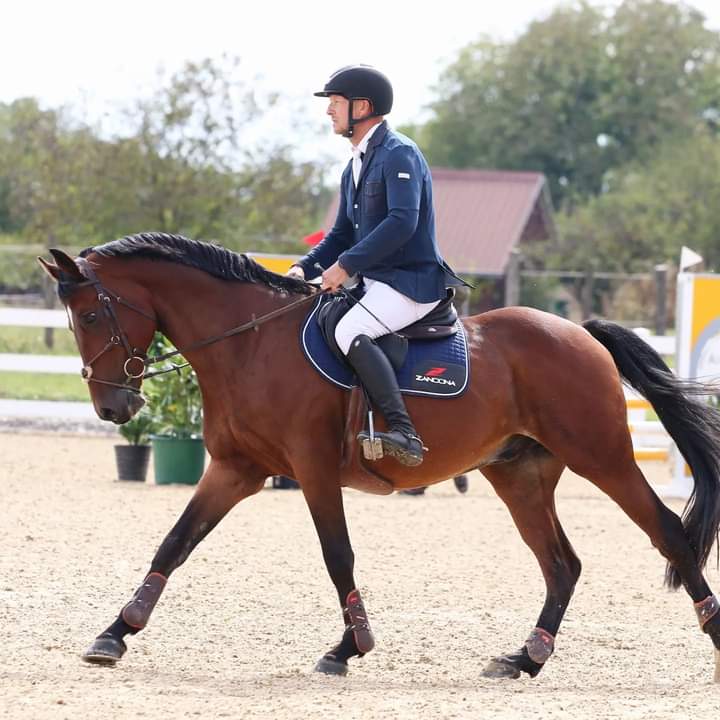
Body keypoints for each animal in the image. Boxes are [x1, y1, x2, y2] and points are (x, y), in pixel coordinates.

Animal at [39, 233, 720, 676]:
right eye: (74, 321)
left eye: (93, 315)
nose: (114, 408)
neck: (250, 343)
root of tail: (581, 332)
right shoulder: (236, 470)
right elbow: (174, 543)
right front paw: (114, 635)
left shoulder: (312, 471)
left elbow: (337, 554)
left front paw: (350, 647)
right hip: (519, 475)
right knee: (562, 565)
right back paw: (525, 659)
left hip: (601, 456)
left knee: (667, 534)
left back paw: (710, 630)